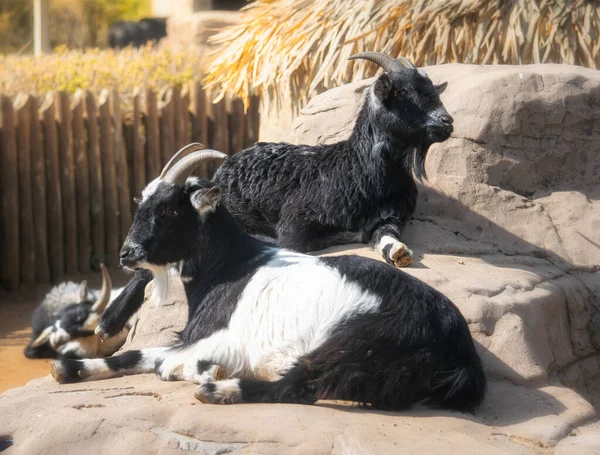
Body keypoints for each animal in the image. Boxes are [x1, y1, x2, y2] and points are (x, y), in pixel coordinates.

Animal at [49, 151, 486, 414]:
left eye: (171, 210)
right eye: (142, 204)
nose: (127, 254)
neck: (230, 267)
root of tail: (457, 346)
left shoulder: (219, 338)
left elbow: (164, 365)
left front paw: (210, 373)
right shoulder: (193, 337)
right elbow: (135, 355)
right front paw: (67, 368)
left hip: (356, 341)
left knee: (302, 385)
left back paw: (220, 390)